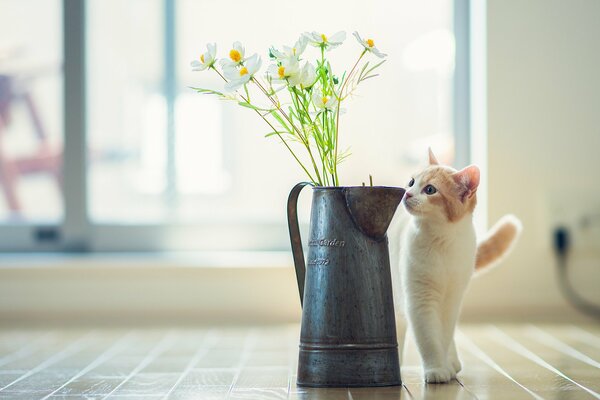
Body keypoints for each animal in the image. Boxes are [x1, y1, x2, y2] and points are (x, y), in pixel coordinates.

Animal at [398, 148, 520, 382]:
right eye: (411, 182)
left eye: (430, 190)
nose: (407, 194)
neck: (441, 243)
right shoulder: (420, 300)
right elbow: (429, 337)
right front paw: (436, 368)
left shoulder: (451, 299)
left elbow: (443, 335)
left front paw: (443, 365)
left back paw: (452, 362)